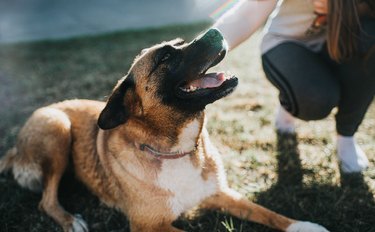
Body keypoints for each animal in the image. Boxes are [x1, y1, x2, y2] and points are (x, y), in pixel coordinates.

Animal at [0, 29, 328, 232]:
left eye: (181, 43)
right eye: (165, 58)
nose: (214, 31)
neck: (177, 149)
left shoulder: (220, 193)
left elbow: (265, 212)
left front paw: (304, 225)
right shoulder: (148, 226)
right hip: (58, 126)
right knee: (46, 199)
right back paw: (70, 220)